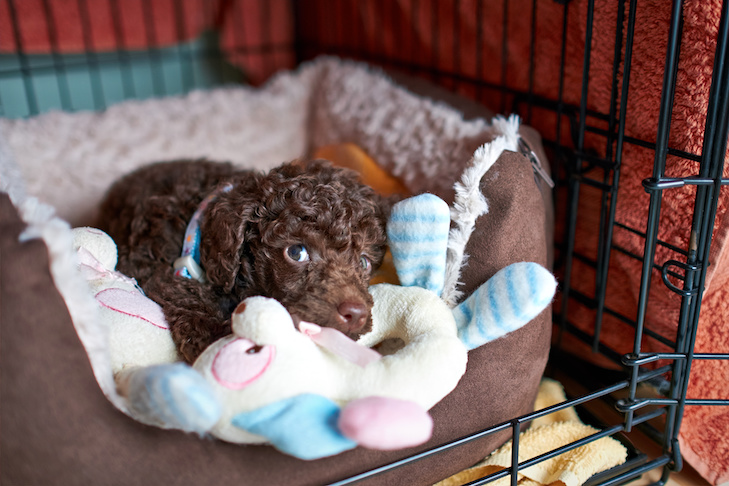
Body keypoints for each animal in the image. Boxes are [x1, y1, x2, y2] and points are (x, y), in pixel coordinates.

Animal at [99, 159, 392, 364]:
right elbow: (186, 292)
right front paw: (217, 338)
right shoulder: (147, 264)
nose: (355, 314)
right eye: (296, 252)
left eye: (364, 262)